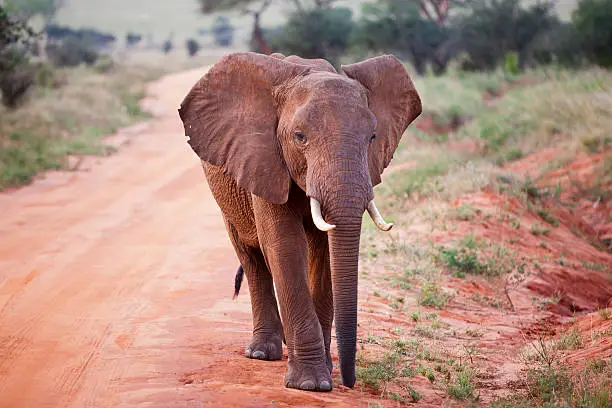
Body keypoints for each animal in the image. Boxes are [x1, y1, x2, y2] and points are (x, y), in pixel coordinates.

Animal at [179, 51, 424, 392]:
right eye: (299, 137)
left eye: (372, 137)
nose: (350, 382)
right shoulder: (266, 161)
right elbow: (285, 246)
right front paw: (311, 384)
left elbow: (325, 254)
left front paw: (324, 371)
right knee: (252, 258)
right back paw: (262, 352)